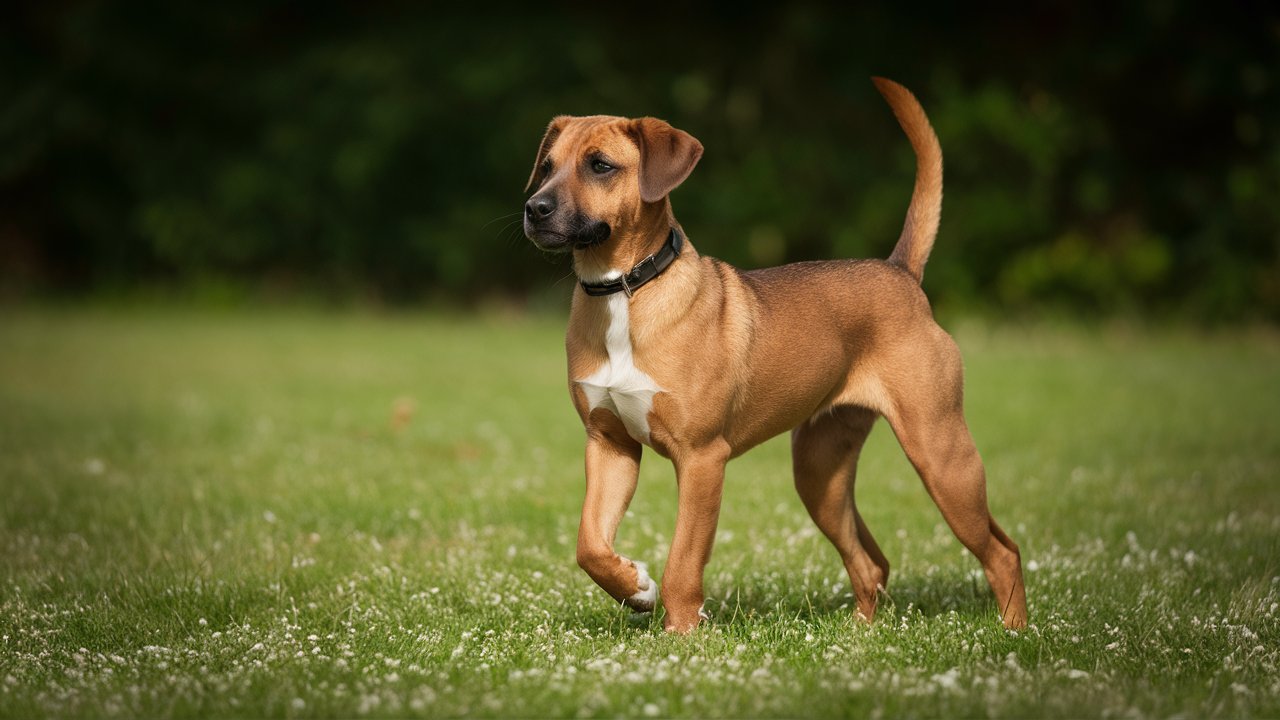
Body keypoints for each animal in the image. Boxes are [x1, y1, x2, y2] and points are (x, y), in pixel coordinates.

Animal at [519, 75, 1029, 630]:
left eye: (601, 165)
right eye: (546, 167)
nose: (534, 209)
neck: (624, 291)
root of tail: (901, 274)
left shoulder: (702, 459)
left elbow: (683, 563)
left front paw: (682, 635)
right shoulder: (610, 445)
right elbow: (590, 546)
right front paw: (635, 589)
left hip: (941, 454)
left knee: (1003, 552)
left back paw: (1014, 632)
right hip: (820, 472)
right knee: (872, 562)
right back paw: (861, 633)